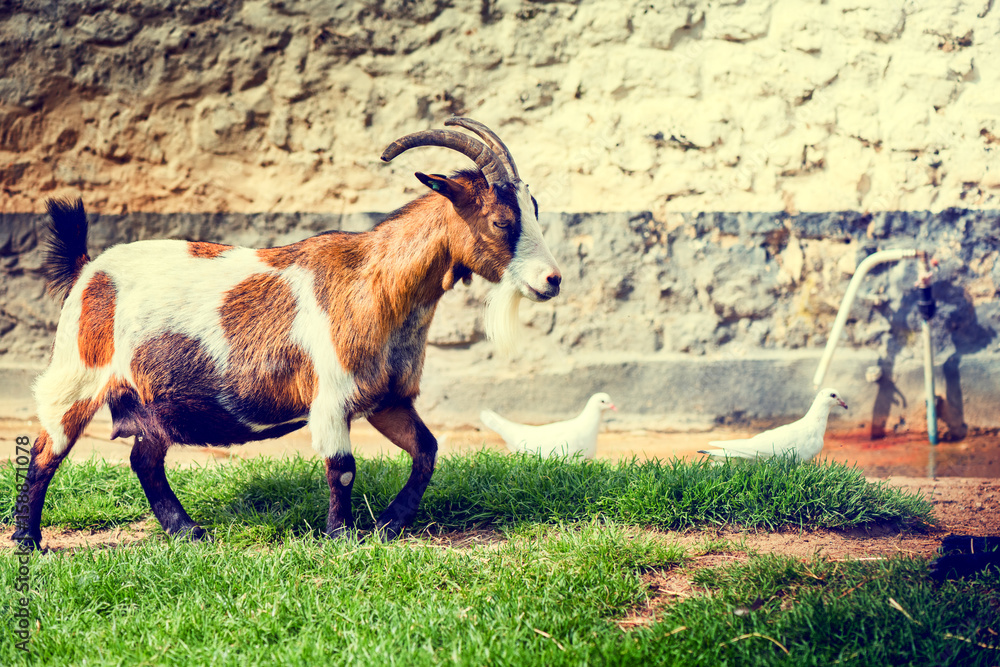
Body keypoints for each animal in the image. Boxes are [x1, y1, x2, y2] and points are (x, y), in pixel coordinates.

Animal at [13, 117, 564, 552]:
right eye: (501, 221)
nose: (552, 280)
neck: (377, 283)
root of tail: (87, 270)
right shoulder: (332, 397)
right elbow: (343, 466)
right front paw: (341, 538)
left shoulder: (387, 398)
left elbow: (426, 450)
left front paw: (388, 524)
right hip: (77, 376)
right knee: (45, 451)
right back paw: (28, 541)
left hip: (150, 402)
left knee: (143, 459)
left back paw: (188, 532)